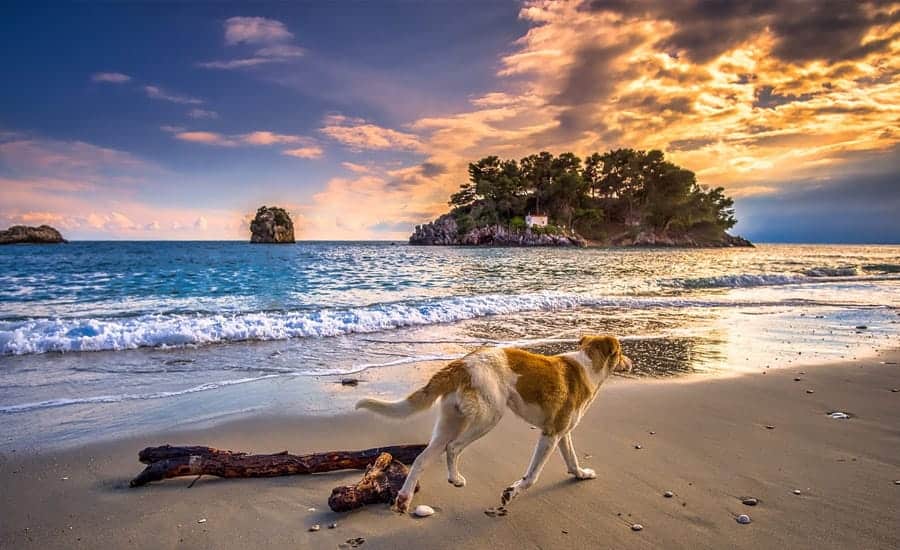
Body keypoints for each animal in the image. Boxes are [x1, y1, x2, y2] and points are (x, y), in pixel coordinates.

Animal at [356, 334, 628, 516]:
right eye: (621, 351)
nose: (630, 362)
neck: (587, 365)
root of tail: (461, 364)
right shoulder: (550, 435)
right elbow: (532, 477)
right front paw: (511, 493)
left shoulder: (562, 433)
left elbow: (571, 459)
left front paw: (581, 474)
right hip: (489, 417)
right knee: (453, 448)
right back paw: (454, 479)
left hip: (450, 422)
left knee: (422, 458)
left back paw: (404, 498)